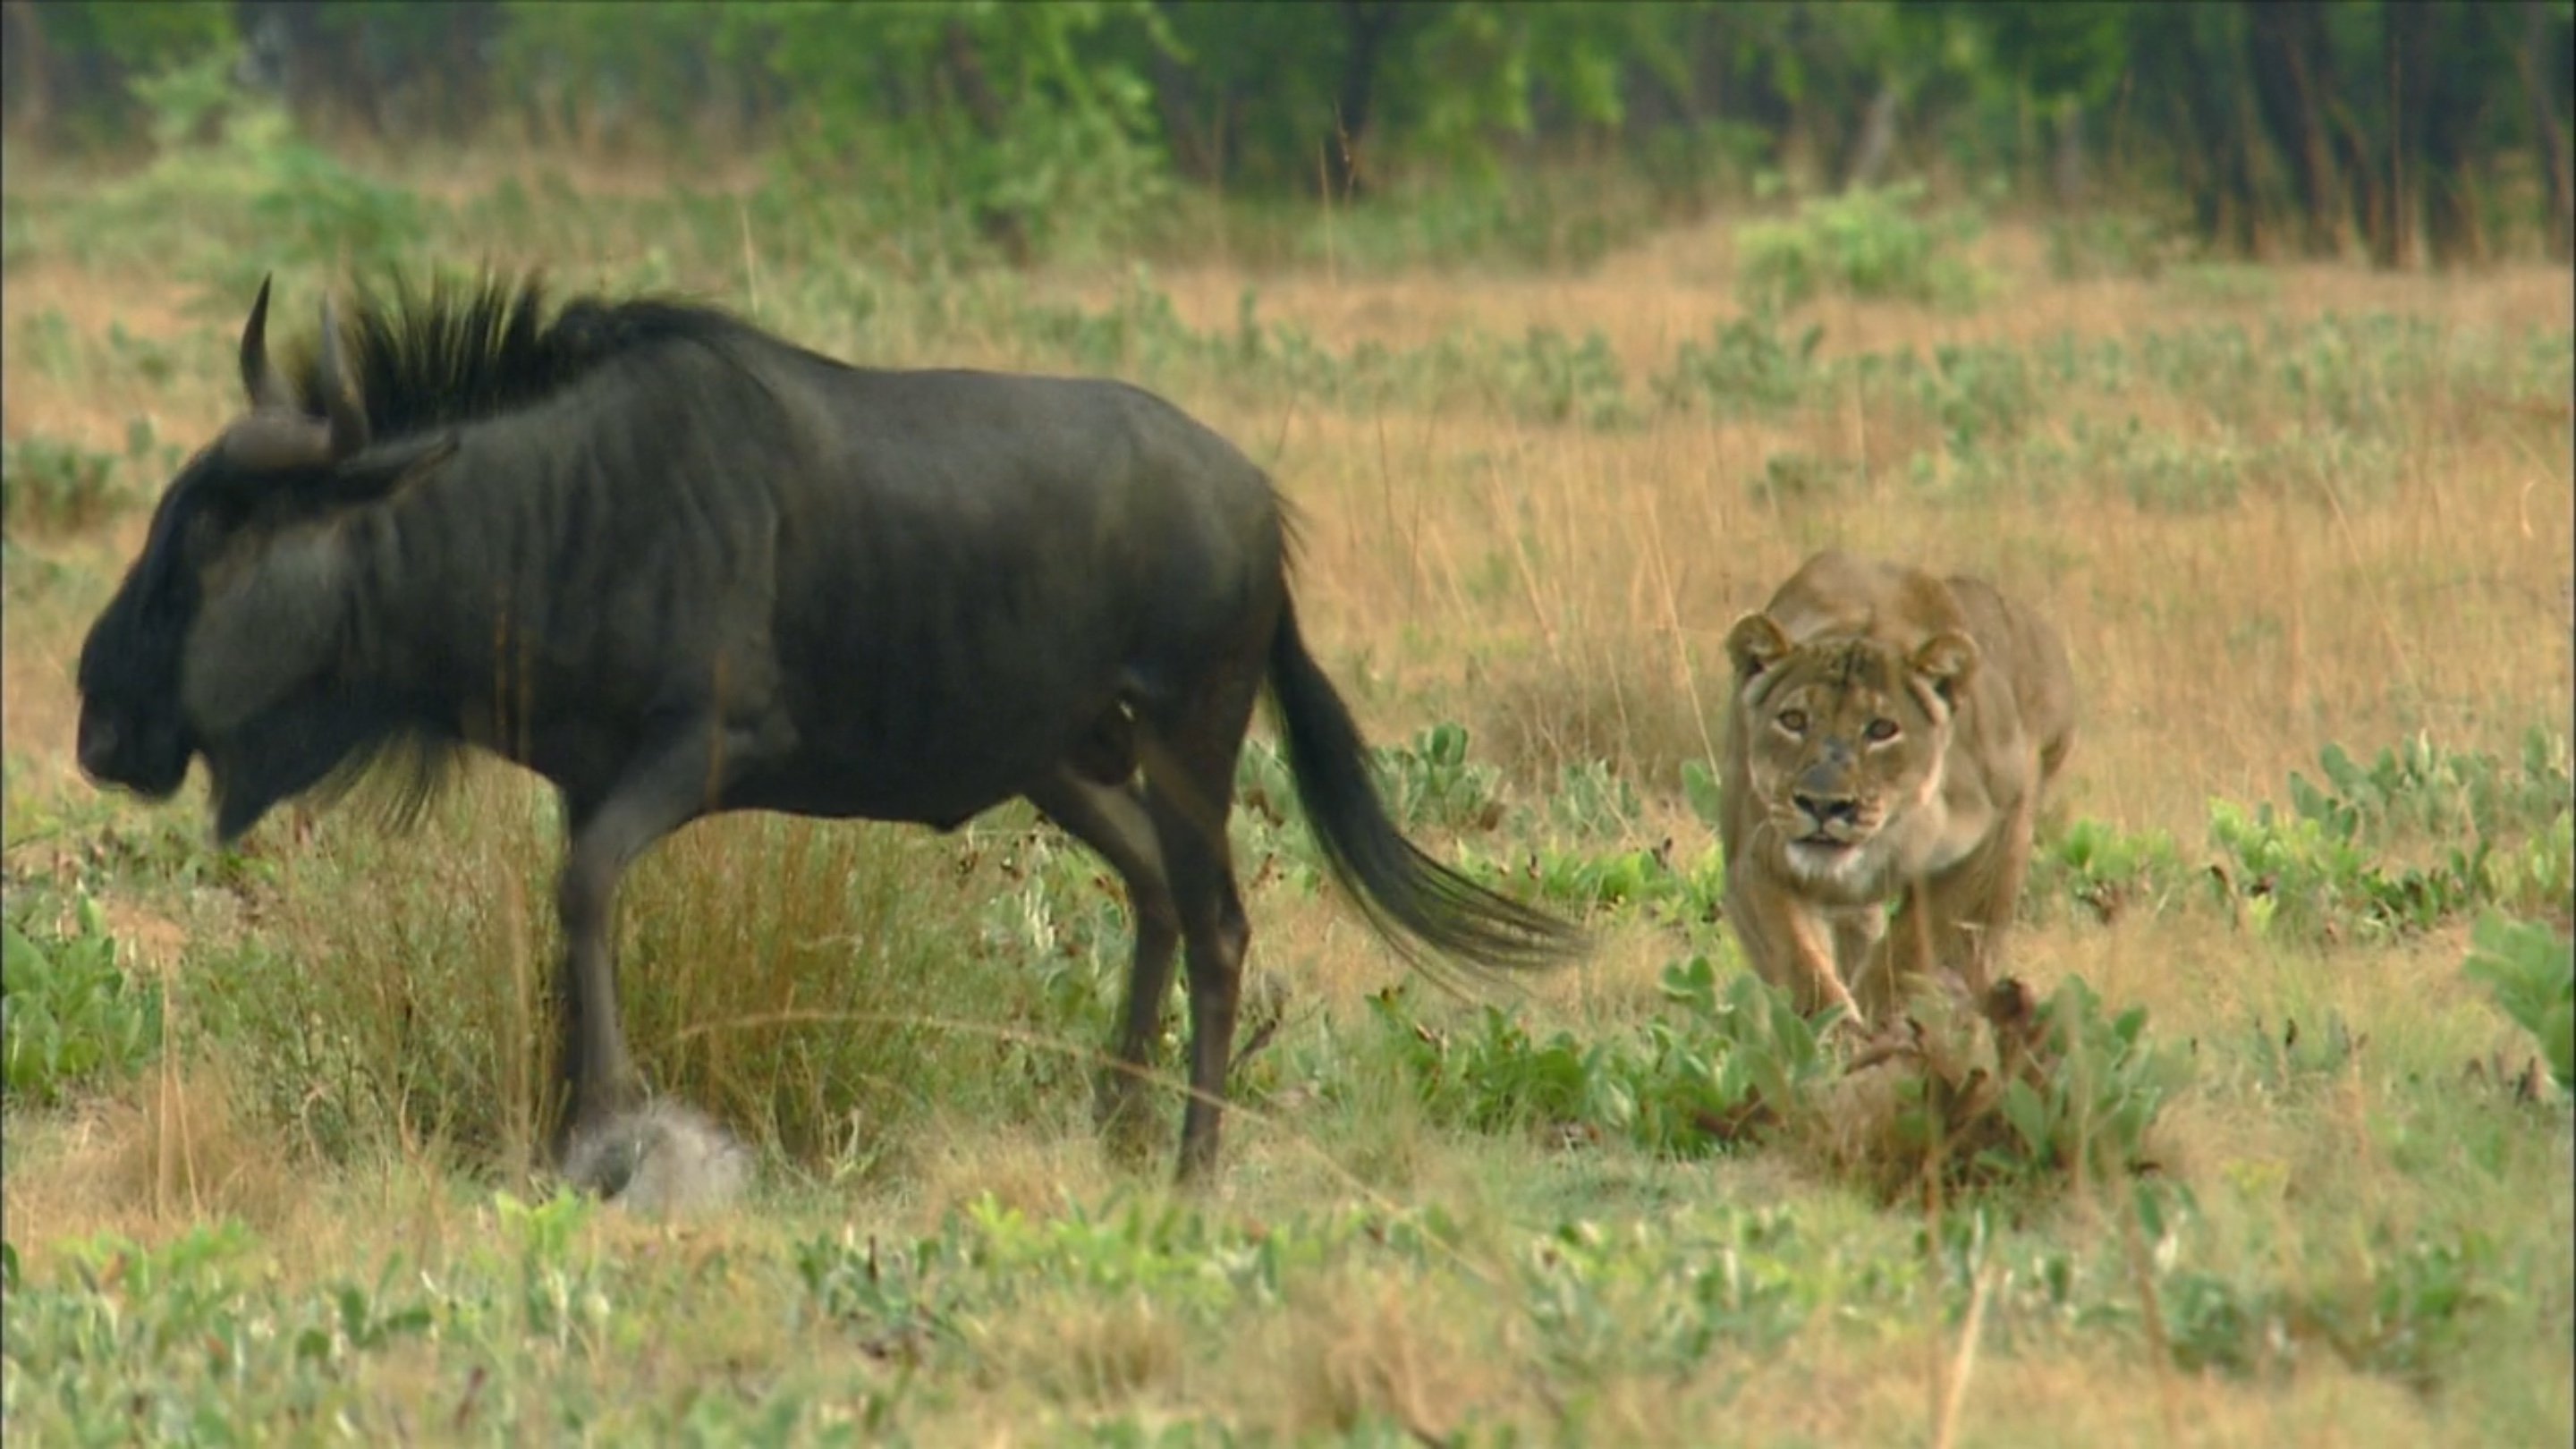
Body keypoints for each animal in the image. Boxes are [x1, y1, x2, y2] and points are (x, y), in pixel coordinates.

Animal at [1718, 550, 2077, 1030]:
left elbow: (1915, 945)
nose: (1823, 805)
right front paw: (1836, 1031)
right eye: (1793, 720)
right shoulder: (1753, 857)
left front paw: (1880, 1015)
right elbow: (1800, 964)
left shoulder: (1997, 837)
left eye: (1882, 729)